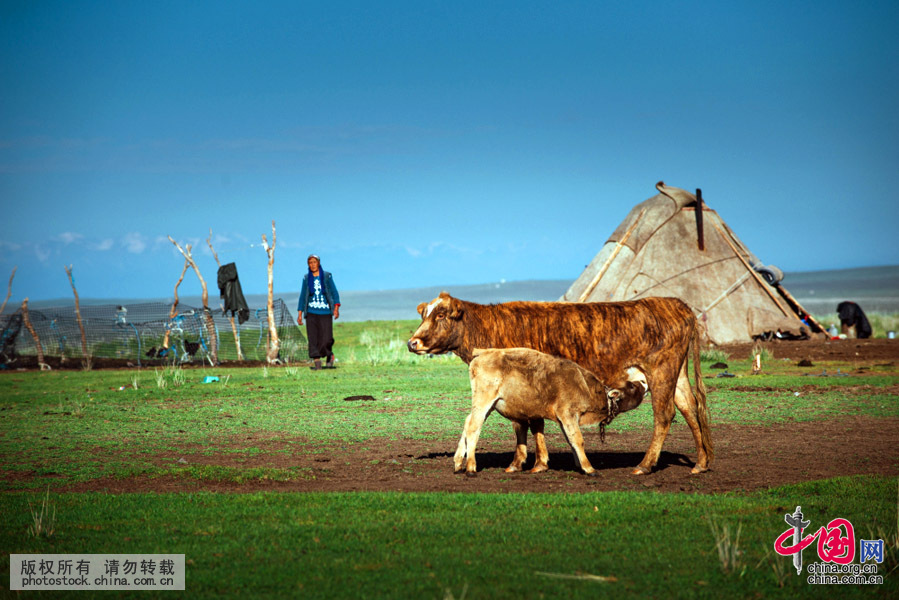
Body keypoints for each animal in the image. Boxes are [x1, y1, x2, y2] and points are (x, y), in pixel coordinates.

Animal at [458, 350, 648, 476]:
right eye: (632, 387)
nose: (644, 382)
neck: (586, 387)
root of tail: (482, 353)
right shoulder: (568, 414)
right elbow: (577, 439)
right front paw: (589, 468)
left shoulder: (564, 419)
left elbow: (570, 439)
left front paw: (579, 464)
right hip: (484, 402)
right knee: (473, 427)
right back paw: (470, 468)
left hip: (487, 405)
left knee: (468, 422)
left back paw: (458, 462)